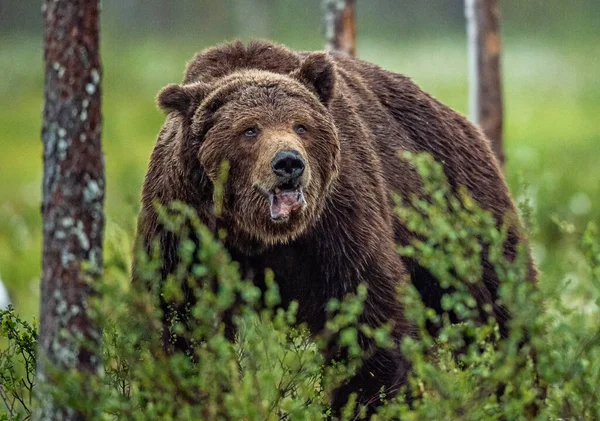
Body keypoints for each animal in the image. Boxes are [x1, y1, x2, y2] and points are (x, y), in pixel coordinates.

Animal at [135, 41, 536, 416]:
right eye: (249, 129)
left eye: (301, 125)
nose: (289, 163)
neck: (258, 234)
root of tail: (465, 123)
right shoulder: (184, 223)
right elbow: (183, 318)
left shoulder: (336, 221)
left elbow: (366, 312)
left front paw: (367, 400)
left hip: (458, 207)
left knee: (498, 308)